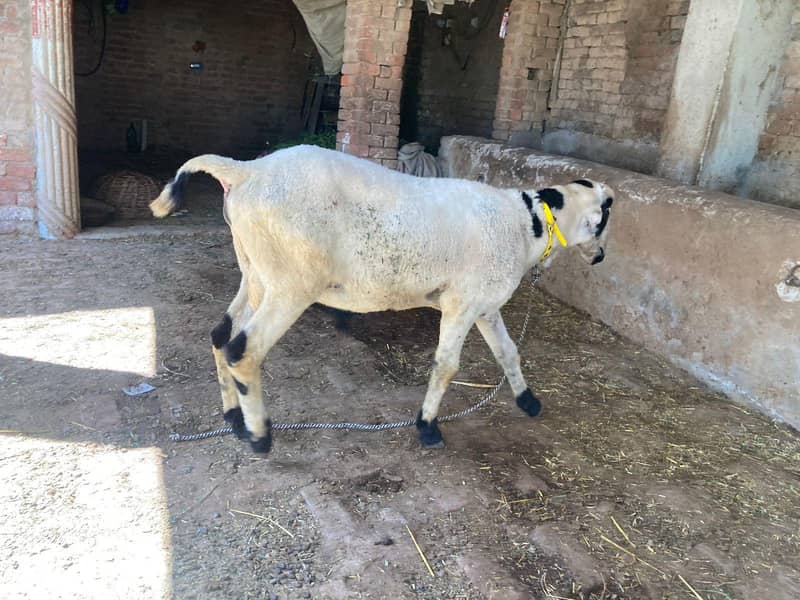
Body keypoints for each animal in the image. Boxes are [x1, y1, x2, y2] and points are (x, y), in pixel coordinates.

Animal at [151, 145, 614, 453]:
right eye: (606, 215)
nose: (601, 258)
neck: (527, 224)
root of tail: (246, 172)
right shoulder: (461, 303)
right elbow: (447, 366)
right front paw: (427, 427)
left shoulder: (485, 306)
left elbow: (509, 352)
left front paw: (528, 401)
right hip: (290, 281)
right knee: (242, 350)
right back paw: (260, 436)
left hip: (255, 271)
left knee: (220, 334)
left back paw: (234, 419)